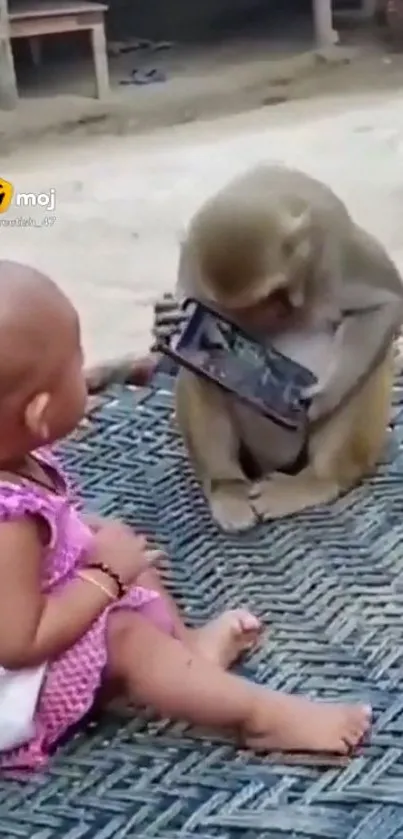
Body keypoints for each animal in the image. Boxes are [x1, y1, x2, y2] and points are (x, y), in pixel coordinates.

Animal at [175, 163, 403, 532]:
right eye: (246, 309)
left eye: (271, 295)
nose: (274, 314)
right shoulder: (192, 269)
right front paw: (166, 319)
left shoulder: (337, 251)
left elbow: (386, 304)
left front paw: (322, 397)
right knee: (198, 376)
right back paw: (227, 486)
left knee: (370, 369)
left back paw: (317, 481)